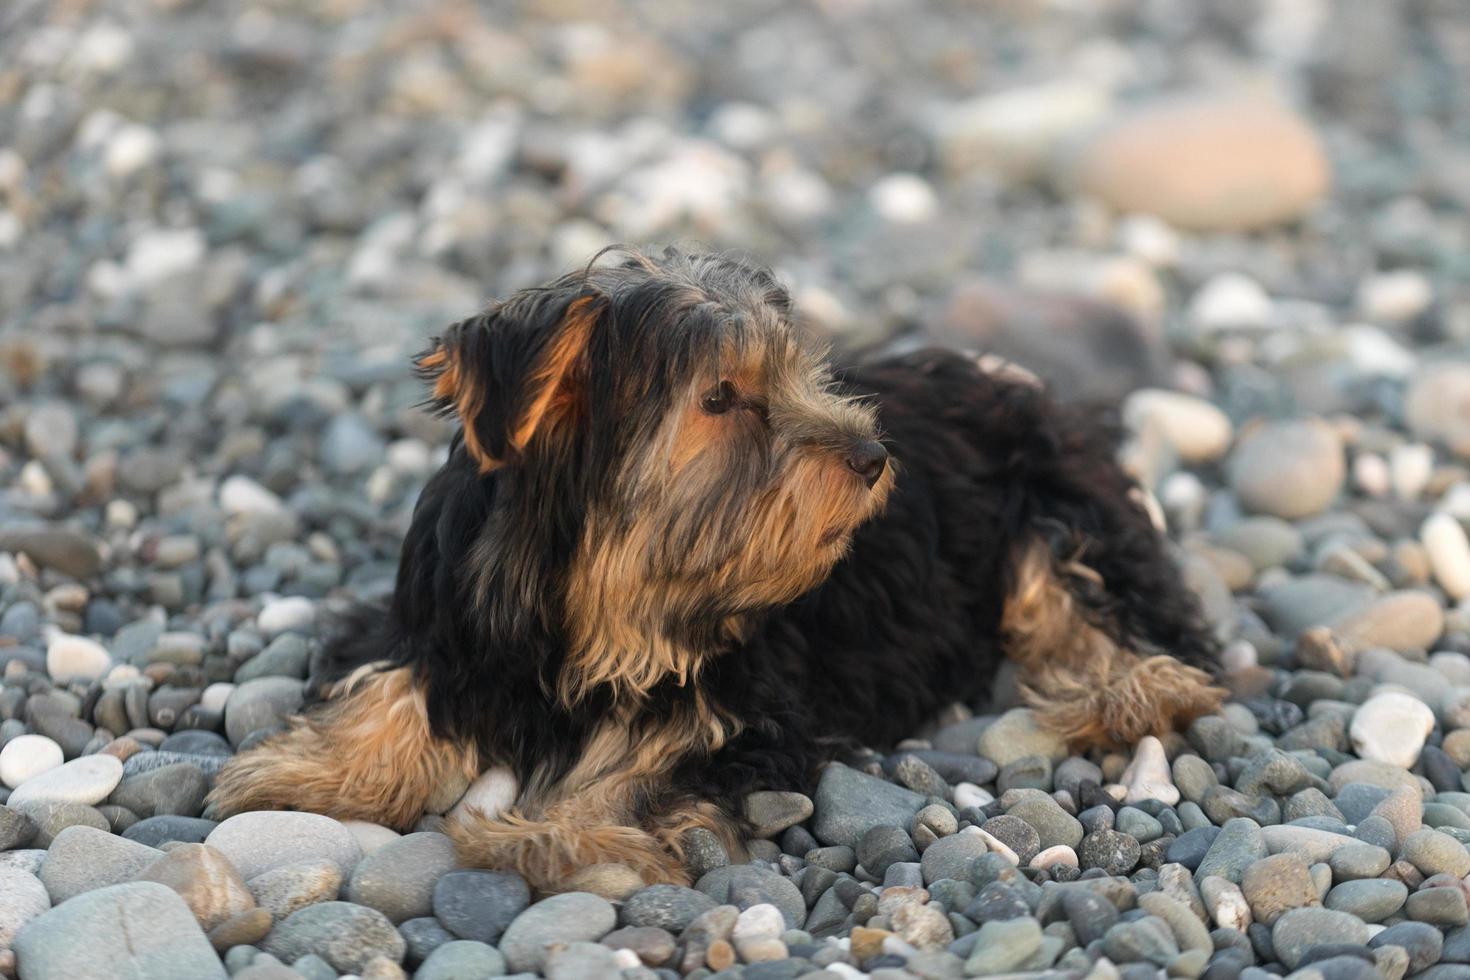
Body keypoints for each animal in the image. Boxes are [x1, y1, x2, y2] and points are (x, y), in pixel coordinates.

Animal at [204, 243, 1217, 887]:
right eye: (722, 398)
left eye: (797, 376)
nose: (871, 457)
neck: (591, 575)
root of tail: (1034, 389)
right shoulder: (446, 613)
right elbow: (397, 677)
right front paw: (310, 769)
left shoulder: (742, 701)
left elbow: (650, 764)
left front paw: (557, 834)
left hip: (1053, 503)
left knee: (1106, 604)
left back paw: (1129, 690)